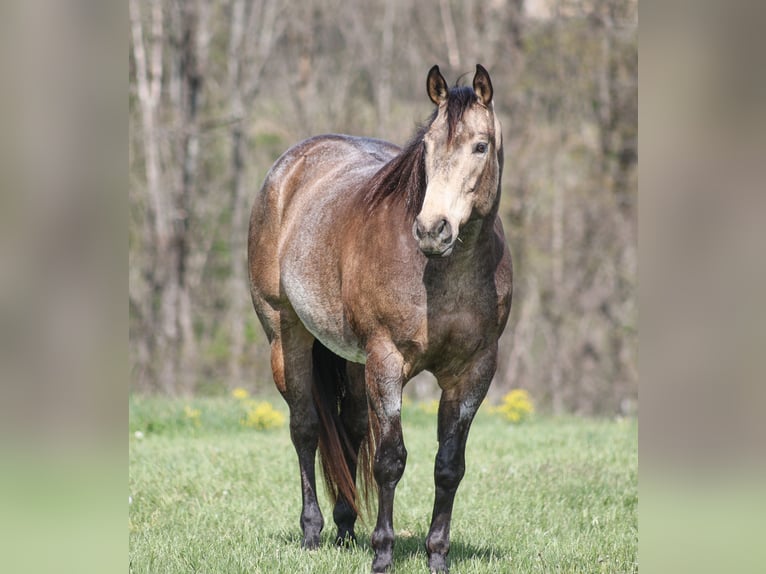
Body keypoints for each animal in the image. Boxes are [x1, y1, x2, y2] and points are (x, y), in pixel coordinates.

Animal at [247, 64, 512, 573]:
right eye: (426, 148)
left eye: (480, 146)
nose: (432, 230)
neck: (444, 275)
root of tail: (288, 169)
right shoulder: (387, 361)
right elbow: (390, 459)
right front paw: (383, 553)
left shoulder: (473, 371)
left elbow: (449, 465)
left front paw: (437, 555)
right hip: (286, 337)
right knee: (306, 428)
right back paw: (313, 532)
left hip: (352, 358)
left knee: (350, 428)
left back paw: (347, 526)